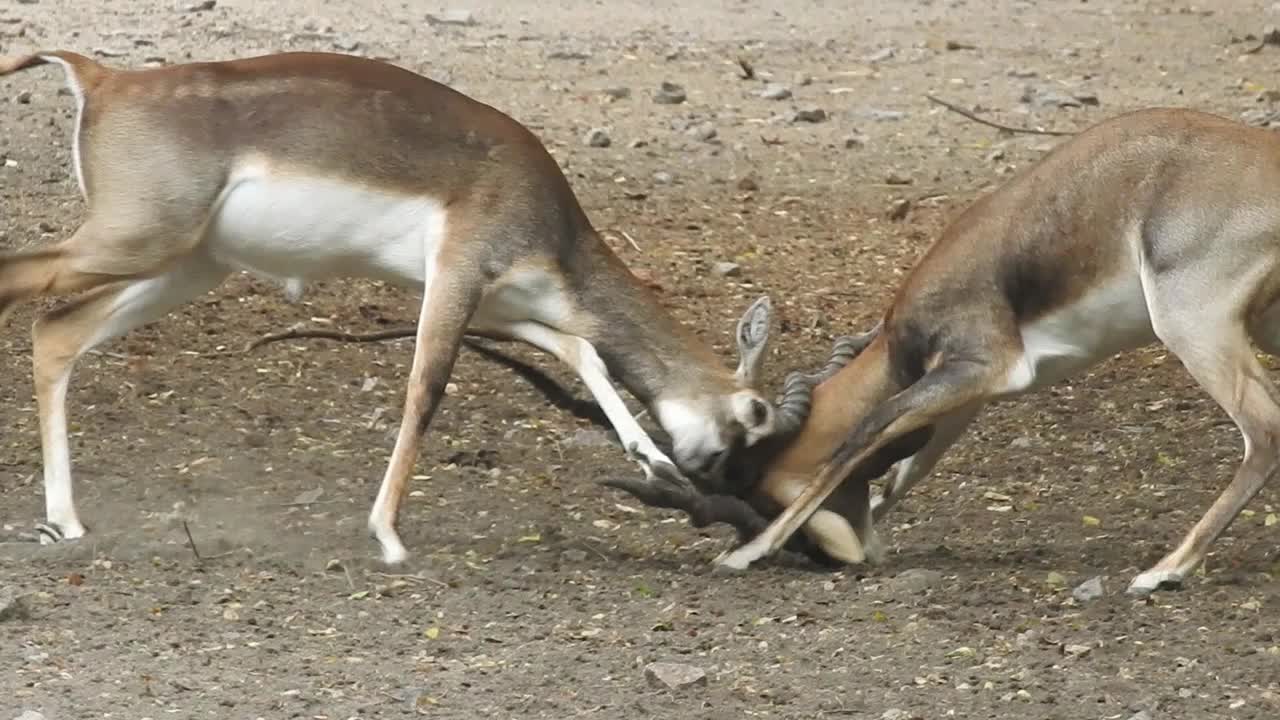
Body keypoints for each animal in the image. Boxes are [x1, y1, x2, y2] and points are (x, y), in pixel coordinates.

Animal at [0, 50, 808, 563]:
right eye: (754, 416)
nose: (707, 484)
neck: (550, 219)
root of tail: (102, 79)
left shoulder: (494, 304)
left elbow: (580, 348)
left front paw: (646, 454)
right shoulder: (456, 277)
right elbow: (427, 387)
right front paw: (387, 536)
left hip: (184, 266)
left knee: (56, 330)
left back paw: (65, 521)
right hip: (133, 242)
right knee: (25, 288)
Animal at [711, 105, 1280, 589]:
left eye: (757, 486)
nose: (820, 556)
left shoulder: (984, 367)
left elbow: (867, 428)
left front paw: (746, 553)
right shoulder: (969, 393)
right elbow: (908, 468)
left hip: (1193, 327)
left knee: (1265, 430)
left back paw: (1166, 570)